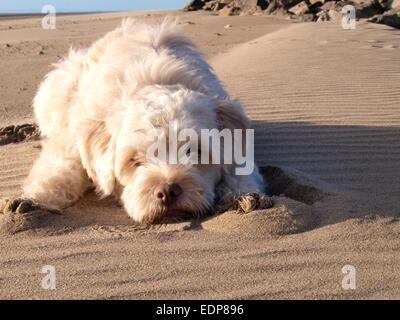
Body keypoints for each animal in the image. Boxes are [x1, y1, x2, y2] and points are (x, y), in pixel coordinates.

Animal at [21, 18, 266, 224]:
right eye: (134, 160)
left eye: (195, 151)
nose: (168, 191)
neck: (156, 80)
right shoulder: (72, 137)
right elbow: (59, 169)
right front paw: (31, 201)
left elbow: (241, 166)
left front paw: (243, 196)